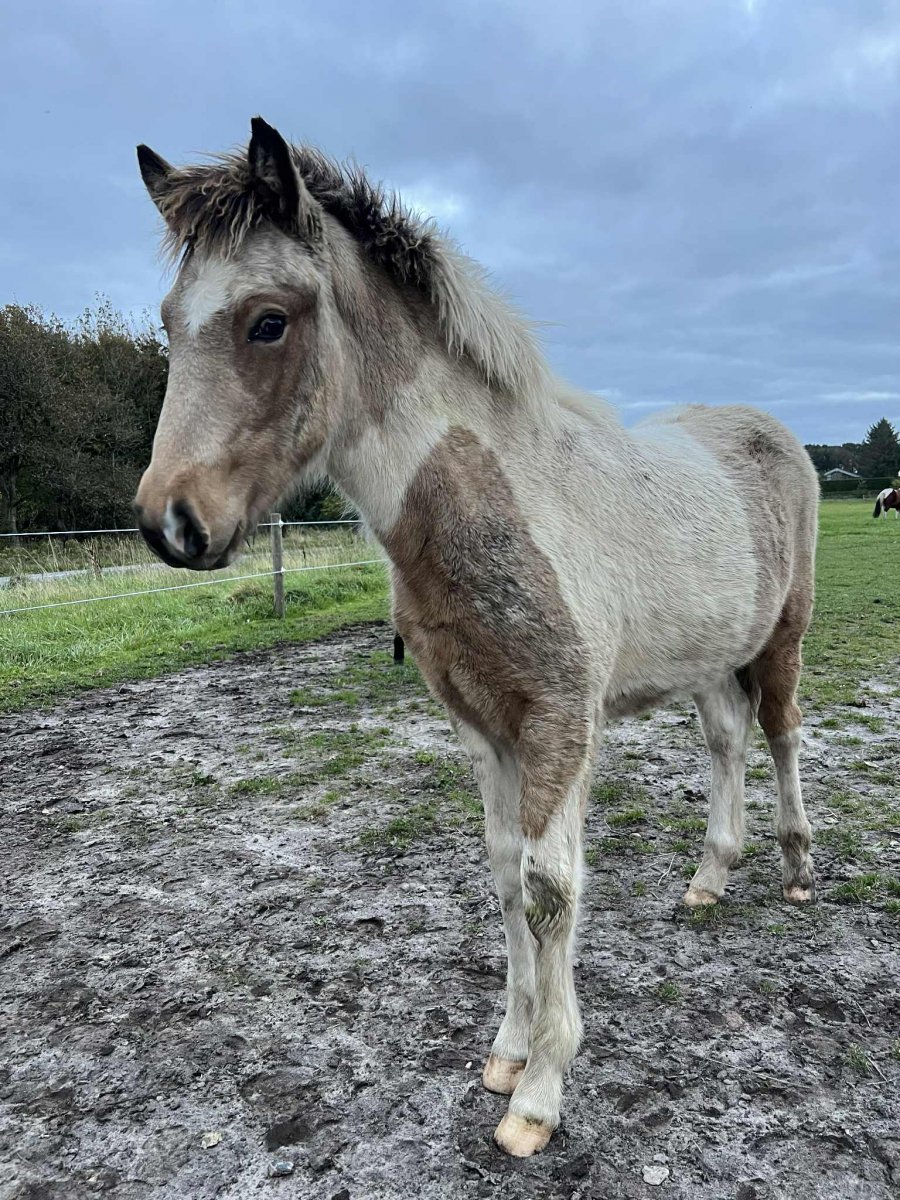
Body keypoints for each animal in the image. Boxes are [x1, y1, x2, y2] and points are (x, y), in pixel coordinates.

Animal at [133, 118, 819, 1157]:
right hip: (707, 656)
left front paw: (537, 1096)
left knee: (779, 733)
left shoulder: (560, 720)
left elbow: (549, 888)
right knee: (726, 741)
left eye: (268, 321)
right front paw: (505, 1050)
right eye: (171, 322)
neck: (500, 500)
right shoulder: (480, 721)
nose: (169, 523)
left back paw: (796, 869)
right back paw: (710, 877)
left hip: (781, 632)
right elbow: (501, 876)